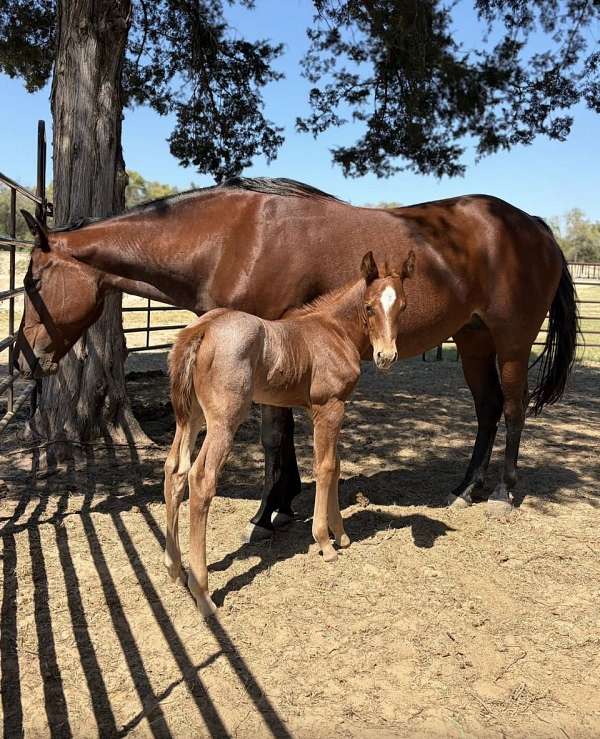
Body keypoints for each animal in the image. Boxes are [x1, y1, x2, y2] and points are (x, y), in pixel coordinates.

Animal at [16, 177, 578, 530]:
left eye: (31, 281)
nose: (24, 356)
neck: (231, 238)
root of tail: (534, 224)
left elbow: (272, 436)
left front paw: (268, 511)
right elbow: (281, 433)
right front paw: (284, 502)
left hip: (510, 342)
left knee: (512, 409)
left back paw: (502, 494)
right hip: (472, 340)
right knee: (487, 410)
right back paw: (464, 490)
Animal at [165, 249, 415, 616]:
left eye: (403, 306)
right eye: (369, 307)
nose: (386, 356)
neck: (334, 330)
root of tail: (202, 328)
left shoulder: (327, 410)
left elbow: (336, 467)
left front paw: (341, 535)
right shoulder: (329, 407)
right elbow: (325, 468)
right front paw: (325, 542)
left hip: (191, 416)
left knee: (175, 470)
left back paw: (174, 569)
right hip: (224, 420)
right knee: (201, 479)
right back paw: (203, 593)